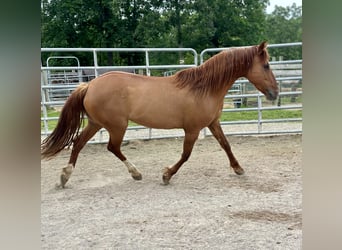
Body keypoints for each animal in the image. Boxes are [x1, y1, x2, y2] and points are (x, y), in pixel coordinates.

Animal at [41, 41, 280, 187]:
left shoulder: (213, 123)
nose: (275, 92)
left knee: (79, 143)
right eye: (267, 65)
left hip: (96, 123)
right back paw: (135, 173)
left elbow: (226, 145)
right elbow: (186, 155)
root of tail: (89, 85)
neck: (204, 88)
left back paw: (64, 177)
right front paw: (166, 175)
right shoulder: (192, 129)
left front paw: (238, 168)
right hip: (117, 125)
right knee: (112, 147)